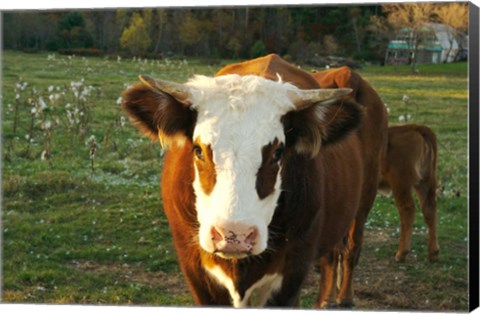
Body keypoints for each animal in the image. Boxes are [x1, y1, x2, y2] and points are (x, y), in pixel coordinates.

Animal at [378, 124, 438, 262]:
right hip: (424, 181)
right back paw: (433, 254)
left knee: (407, 210)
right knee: (429, 209)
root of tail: (414, 127)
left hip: (400, 183)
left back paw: (401, 253)